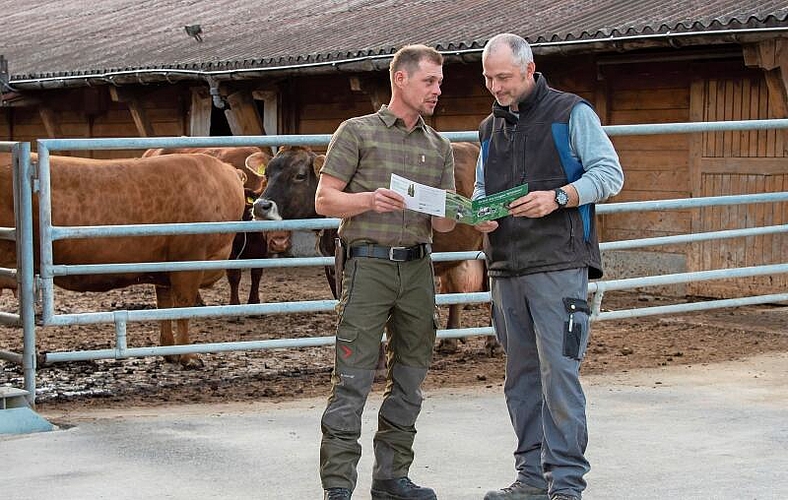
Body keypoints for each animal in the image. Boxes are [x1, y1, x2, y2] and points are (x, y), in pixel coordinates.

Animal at [0, 152, 246, 368]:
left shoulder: (164, 268)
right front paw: (190, 357)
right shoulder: (189, 260)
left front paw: (171, 352)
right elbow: (183, 308)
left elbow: (164, 306)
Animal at [142, 146, 292, 304]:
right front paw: (234, 303)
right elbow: (234, 275)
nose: (279, 243)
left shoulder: (261, 247)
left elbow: (257, 273)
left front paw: (254, 302)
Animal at [254, 145, 498, 356]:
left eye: (300, 175)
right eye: (268, 173)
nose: (260, 206)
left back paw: (492, 342)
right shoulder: (334, 267)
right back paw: (450, 341)